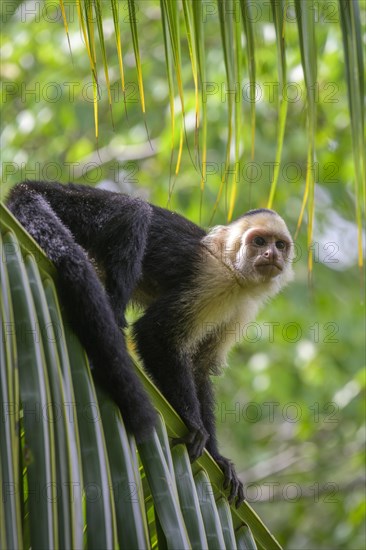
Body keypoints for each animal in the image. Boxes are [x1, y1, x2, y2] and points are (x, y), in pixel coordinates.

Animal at [7, 182, 294, 508]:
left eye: (280, 245)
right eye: (258, 241)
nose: (271, 253)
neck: (234, 270)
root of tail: (29, 185)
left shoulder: (241, 307)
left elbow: (200, 368)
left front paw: (217, 457)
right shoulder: (213, 280)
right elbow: (154, 335)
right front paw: (193, 423)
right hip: (71, 207)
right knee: (133, 212)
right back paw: (111, 319)